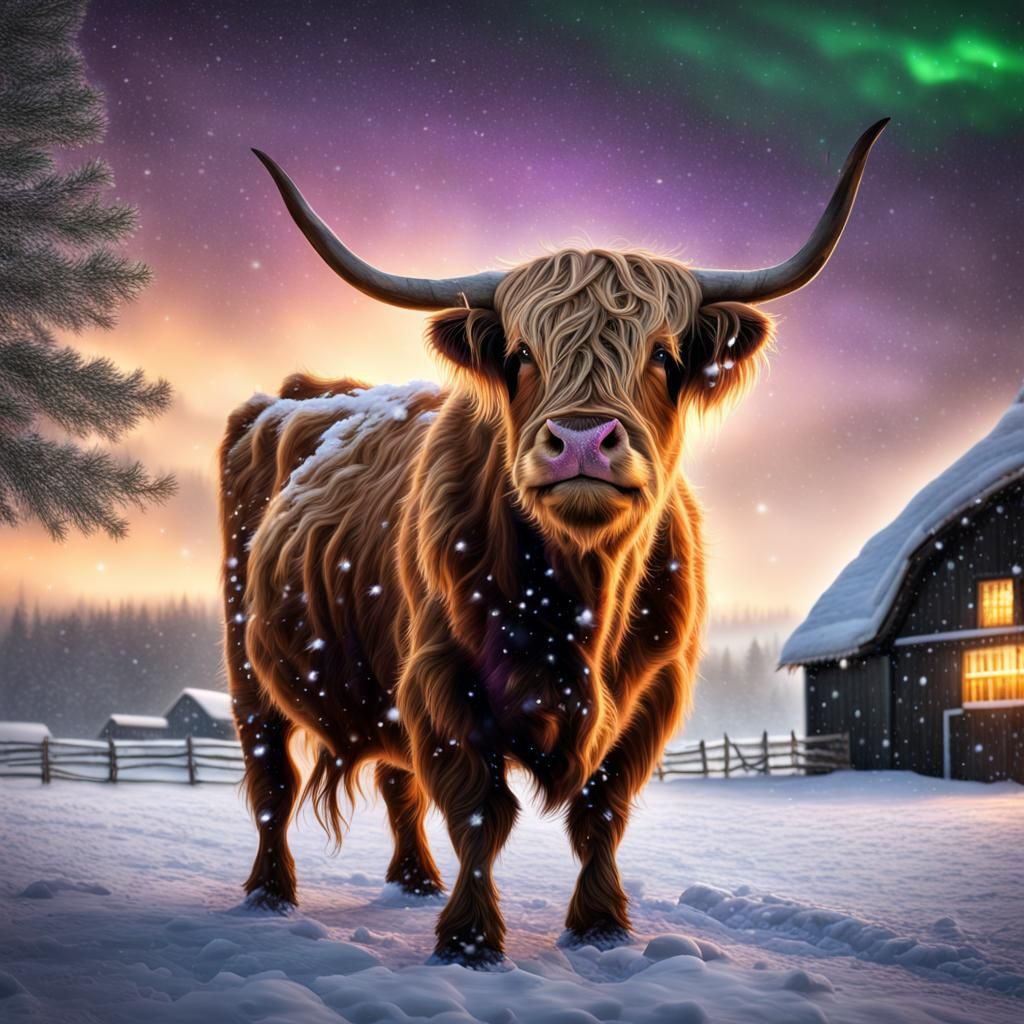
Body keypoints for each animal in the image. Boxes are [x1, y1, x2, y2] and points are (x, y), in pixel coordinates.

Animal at [220, 119, 887, 966]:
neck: (577, 597)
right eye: (521, 355)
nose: (579, 441)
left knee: (397, 782)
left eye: (662, 353)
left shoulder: (649, 696)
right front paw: (469, 941)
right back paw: (270, 894)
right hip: (248, 667)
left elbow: (601, 813)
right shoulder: (441, 684)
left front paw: (600, 927)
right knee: (270, 779)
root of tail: (300, 393)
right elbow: (481, 812)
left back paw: (414, 882)